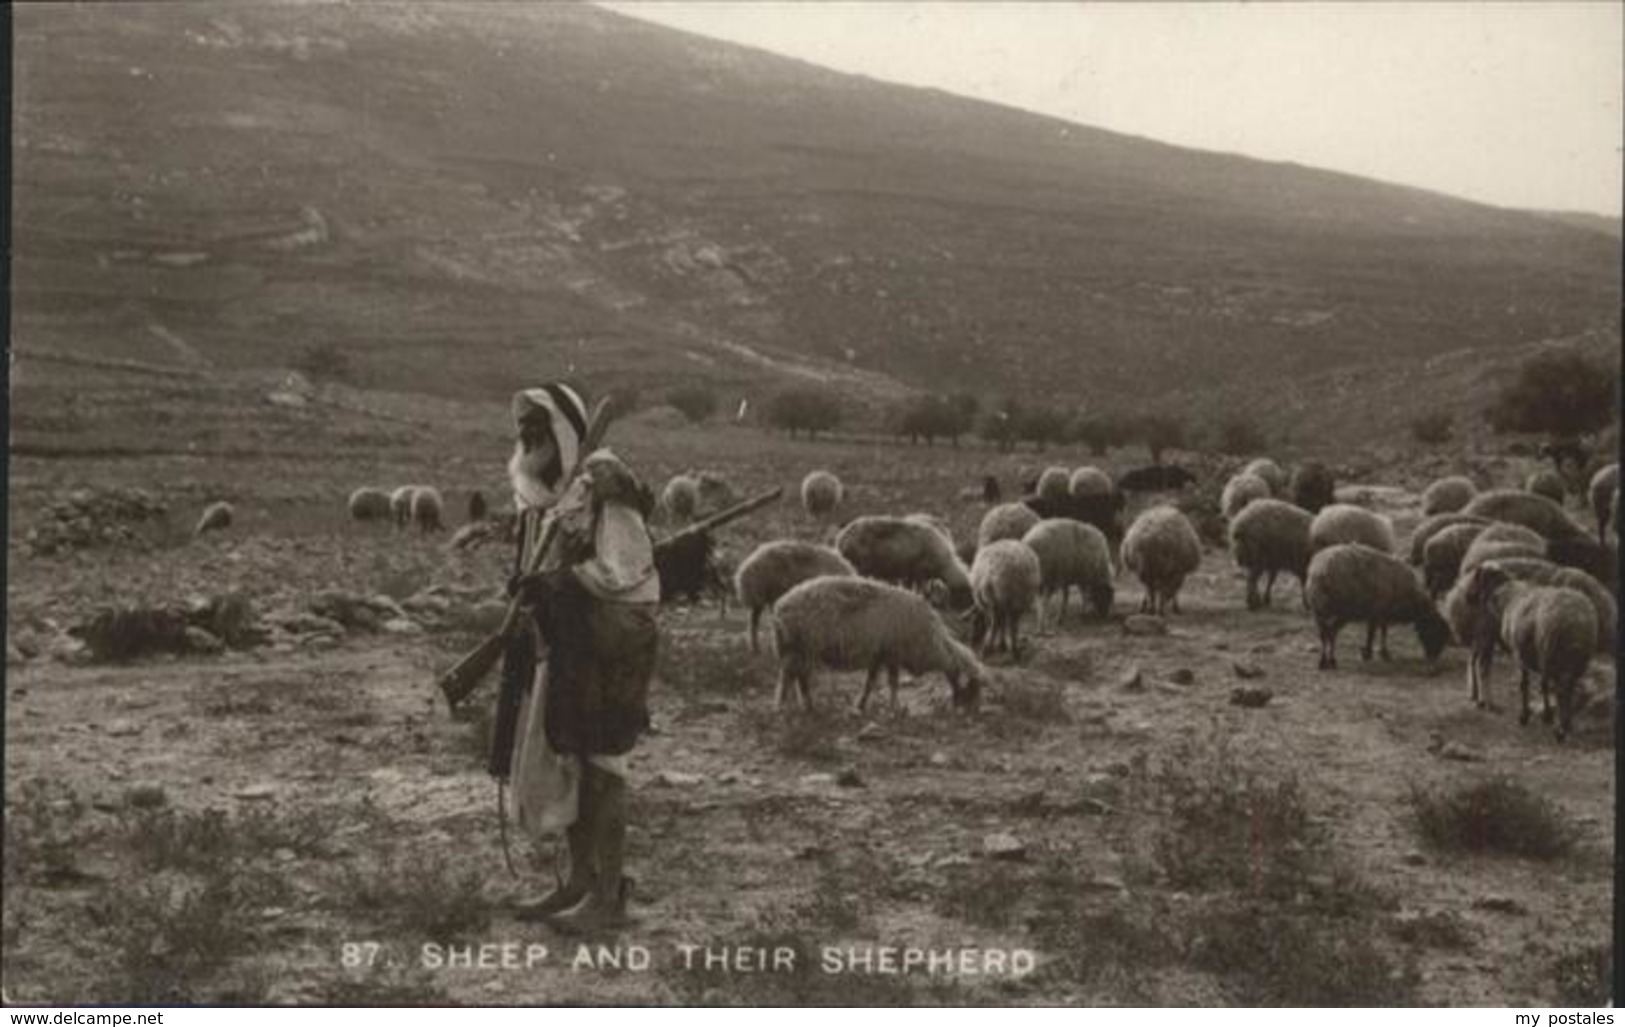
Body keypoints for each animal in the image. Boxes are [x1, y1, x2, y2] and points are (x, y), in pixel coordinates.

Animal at [770, 578, 981, 715]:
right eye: (971, 687)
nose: (969, 709)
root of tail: (779, 608)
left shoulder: (879, 655)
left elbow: (870, 682)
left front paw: (861, 705)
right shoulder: (892, 654)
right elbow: (893, 682)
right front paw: (896, 708)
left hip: (801, 650)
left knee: (800, 678)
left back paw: (808, 706)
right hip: (798, 649)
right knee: (788, 678)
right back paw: (783, 706)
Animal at [832, 513, 968, 611]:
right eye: (965, 595)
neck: (946, 564)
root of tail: (841, 538)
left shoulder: (915, 575)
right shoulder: (918, 573)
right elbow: (919, 589)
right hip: (860, 566)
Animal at [1300, 542, 1456, 669]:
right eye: (1435, 632)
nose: (1433, 658)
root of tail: (1320, 572)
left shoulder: (1381, 611)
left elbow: (1381, 629)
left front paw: (1379, 652)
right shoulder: (1378, 610)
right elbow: (1374, 632)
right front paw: (1371, 652)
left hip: (1318, 610)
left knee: (1324, 634)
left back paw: (1323, 661)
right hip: (1341, 610)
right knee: (1331, 633)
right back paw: (1331, 660)